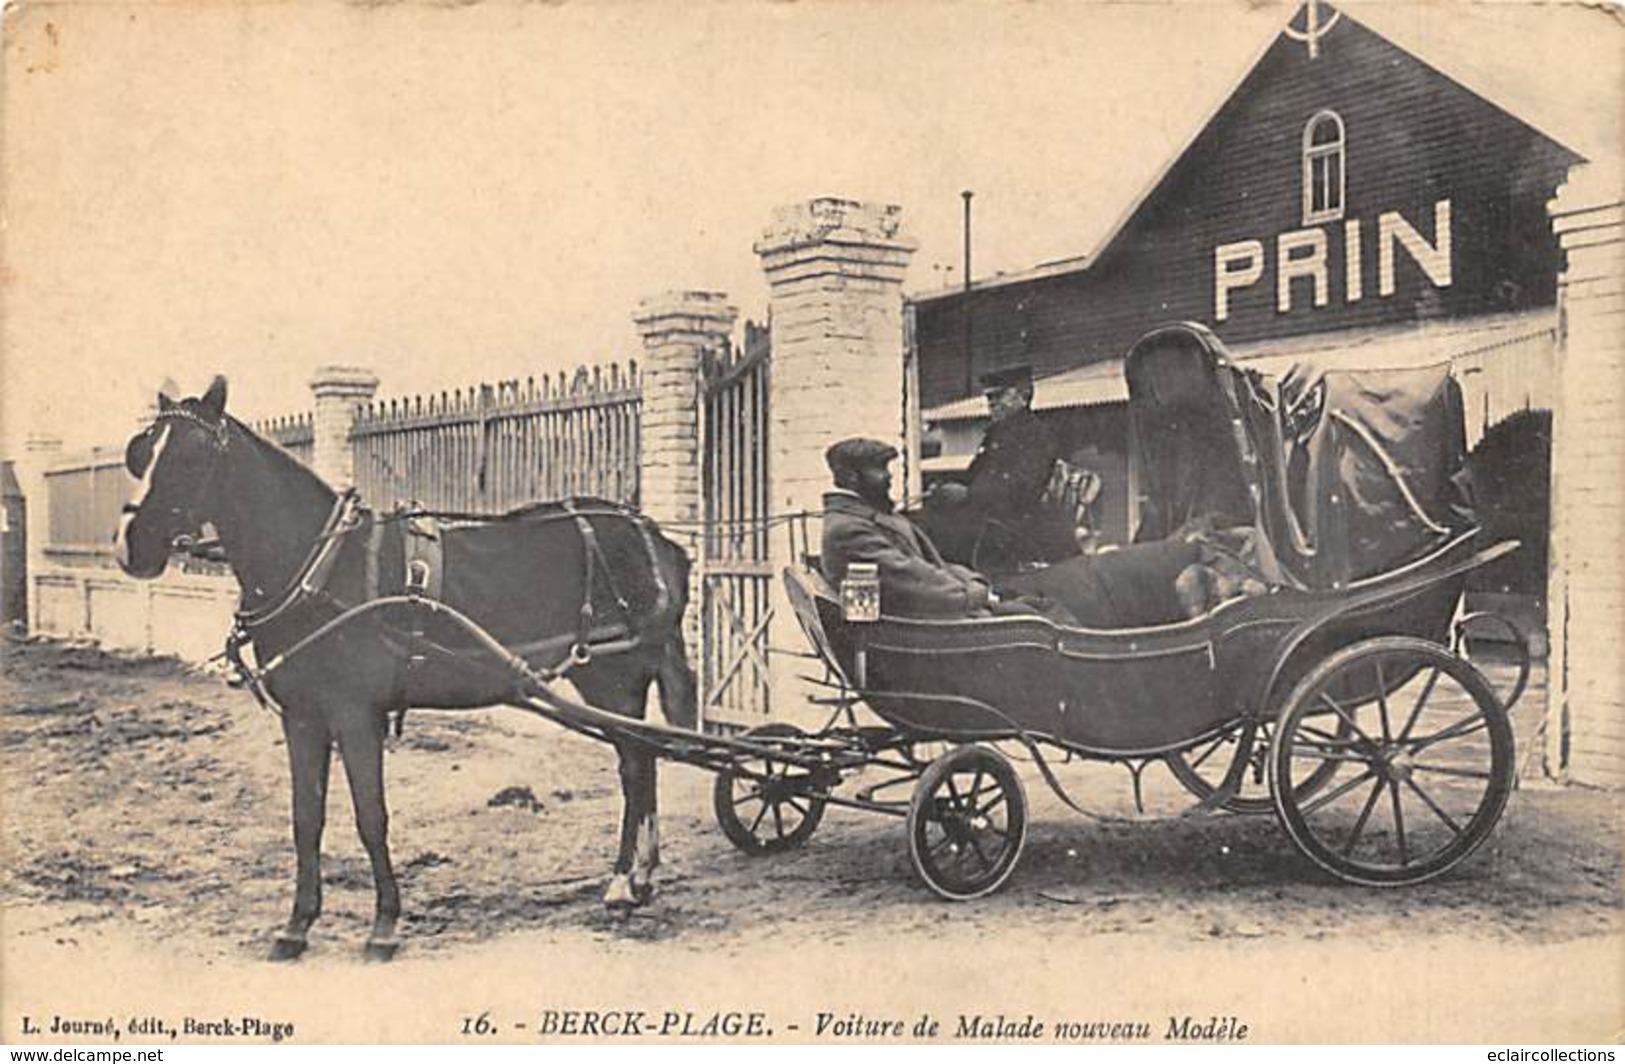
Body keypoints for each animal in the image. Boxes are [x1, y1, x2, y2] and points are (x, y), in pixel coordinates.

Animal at [112, 378, 698, 961]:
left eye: (193, 454)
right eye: (141, 452)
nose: (129, 548)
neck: (321, 569)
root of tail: (654, 535)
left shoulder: (356, 716)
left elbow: (371, 817)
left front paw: (384, 925)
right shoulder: (302, 718)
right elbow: (306, 819)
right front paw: (297, 925)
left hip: (614, 680)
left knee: (634, 766)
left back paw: (622, 881)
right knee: (642, 762)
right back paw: (641, 876)